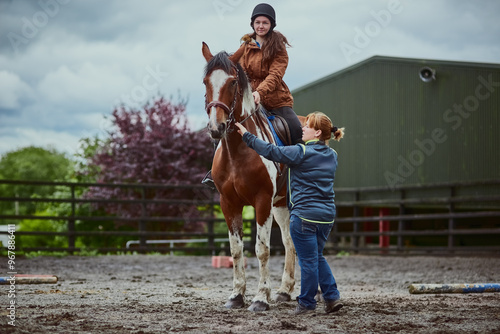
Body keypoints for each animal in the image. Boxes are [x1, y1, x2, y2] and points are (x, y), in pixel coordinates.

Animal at [203, 42, 296, 314]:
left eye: (233, 82)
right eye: (205, 82)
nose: (216, 128)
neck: (238, 150)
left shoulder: (262, 201)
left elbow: (262, 250)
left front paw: (260, 298)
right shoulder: (229, 203)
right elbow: (236, 250)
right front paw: (236, 295)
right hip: (280, 206)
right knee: (289, 242)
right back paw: (285, 291)